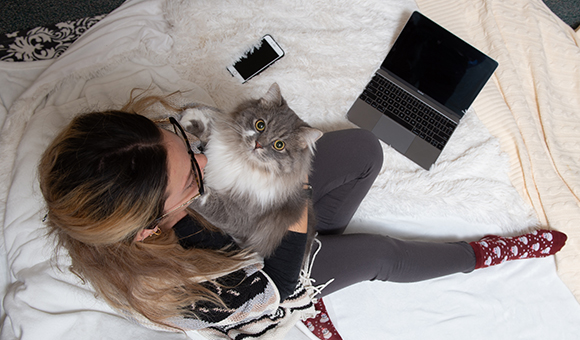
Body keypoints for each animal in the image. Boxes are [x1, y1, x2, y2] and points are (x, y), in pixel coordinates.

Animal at [181, 83, 322, 256]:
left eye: (279, 145)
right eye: (260, 125)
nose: (258, 144)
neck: (243, 160)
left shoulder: (237, 216)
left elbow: (204, 199)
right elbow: (211, 131)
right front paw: (191, 119)